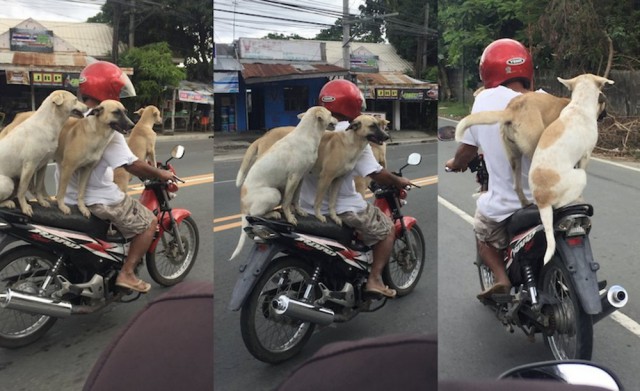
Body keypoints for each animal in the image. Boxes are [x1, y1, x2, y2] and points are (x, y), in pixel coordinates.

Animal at [231, 105, 340, 262]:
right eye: (331, 114)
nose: (338, 120)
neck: (307, 134)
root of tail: (242, 206)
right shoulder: (293, 178)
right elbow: (288, 201)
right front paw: (290, 217)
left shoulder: (301, 177)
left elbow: (296, 198)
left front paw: (299, 211)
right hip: (274, 193)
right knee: (255, 214)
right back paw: (273, 214)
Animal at [528, 73, 612, 264]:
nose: (606, 115)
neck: (579, 105)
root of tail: (542, 201)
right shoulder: (586, 156)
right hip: (580, 176)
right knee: (563, 201)